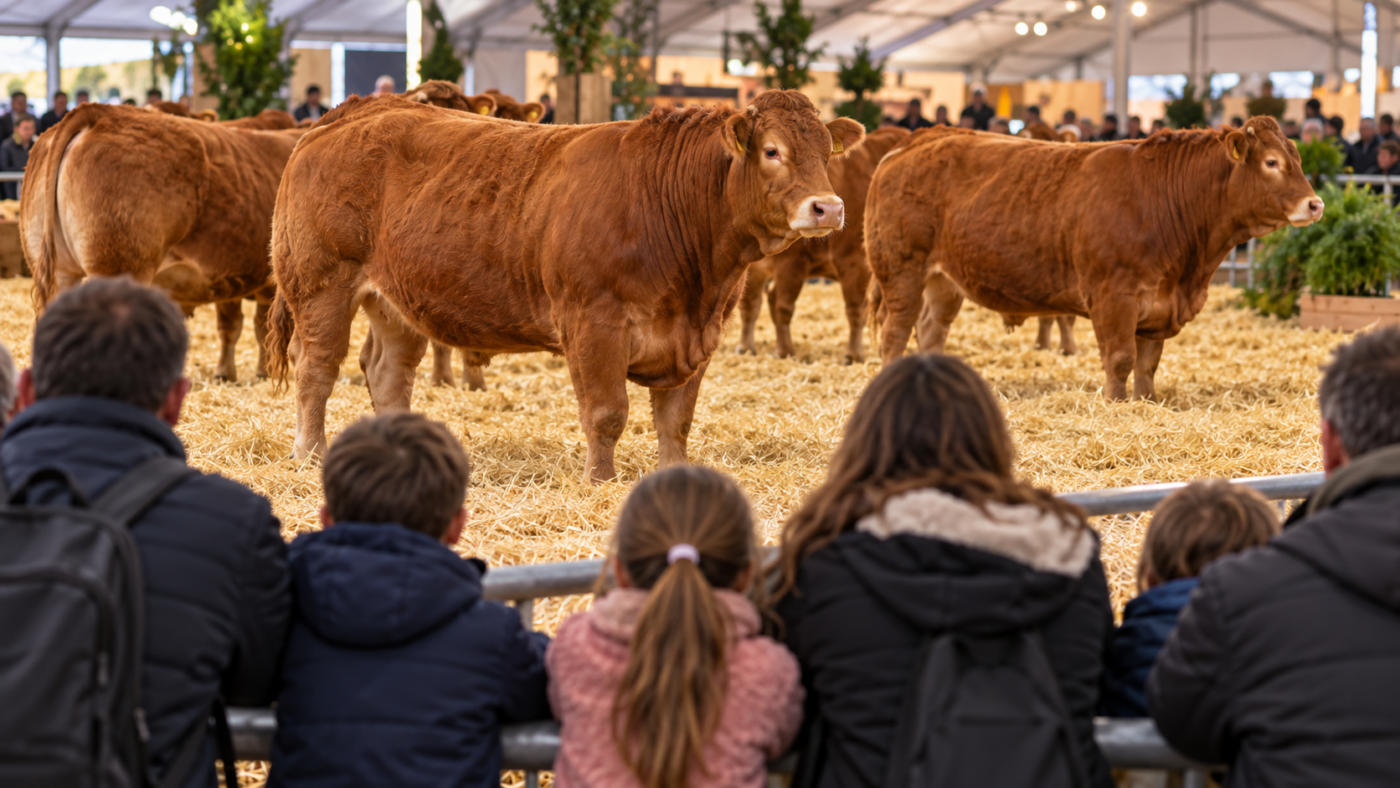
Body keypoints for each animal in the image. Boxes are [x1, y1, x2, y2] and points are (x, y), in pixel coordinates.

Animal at [20, 103, 304, 381]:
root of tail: (99, 112)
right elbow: (256, 326)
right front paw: (257, 373)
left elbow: (236, 325)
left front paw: (230, 373)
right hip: (120, 267)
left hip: (59, 271)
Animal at [266, 90, 864, 481]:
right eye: (772, 150)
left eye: (827, 151)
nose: (828, 207)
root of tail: (354, 111)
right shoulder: (593, 321)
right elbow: (607, 413)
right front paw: (600, 483)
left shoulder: (699, 335)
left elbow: (675, 423)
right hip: (321, 284)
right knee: (316, 369)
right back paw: (308, 454)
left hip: (394, 300)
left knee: (388, 372)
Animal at [865, 117, 1323, 400]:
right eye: (1271, 162)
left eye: (1298, 160)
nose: (1315, 204)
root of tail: (916, 140)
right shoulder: (1113, 295)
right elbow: (1120, 360)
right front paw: (1117, 405)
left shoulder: (1158, 305)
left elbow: (1147, 365)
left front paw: (1147, 402)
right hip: (901, 269)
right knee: (895, 331)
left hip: (944, 281)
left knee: (931, 329)